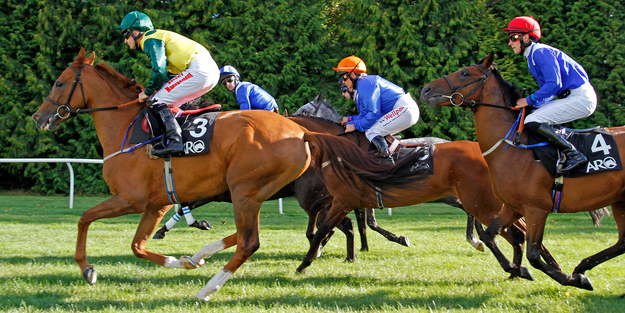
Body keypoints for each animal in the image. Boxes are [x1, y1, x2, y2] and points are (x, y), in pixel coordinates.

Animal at [30, 48, 428, 300]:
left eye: (60, 83)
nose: (39, 117)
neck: (132, 131)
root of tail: (302, 133)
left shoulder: (131, 199)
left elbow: (85, 219)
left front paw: (87, 269)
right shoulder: (157, 203)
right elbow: (139, 244)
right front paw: (178, 257)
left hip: (251, 190)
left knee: (257, 239)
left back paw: (209, 287)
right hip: (250, 193)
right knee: (261, 233)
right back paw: (203, 257)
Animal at [420, 53, 624, 290]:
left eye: (465, 73)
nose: (426, 90)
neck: (511, 147)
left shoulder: (537, 209)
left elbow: (533, 254)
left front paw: (571, 279)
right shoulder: (512, 206)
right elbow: (490, 235)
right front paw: (518, 270)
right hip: (619, 200)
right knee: (622, 241)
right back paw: (582, 267)